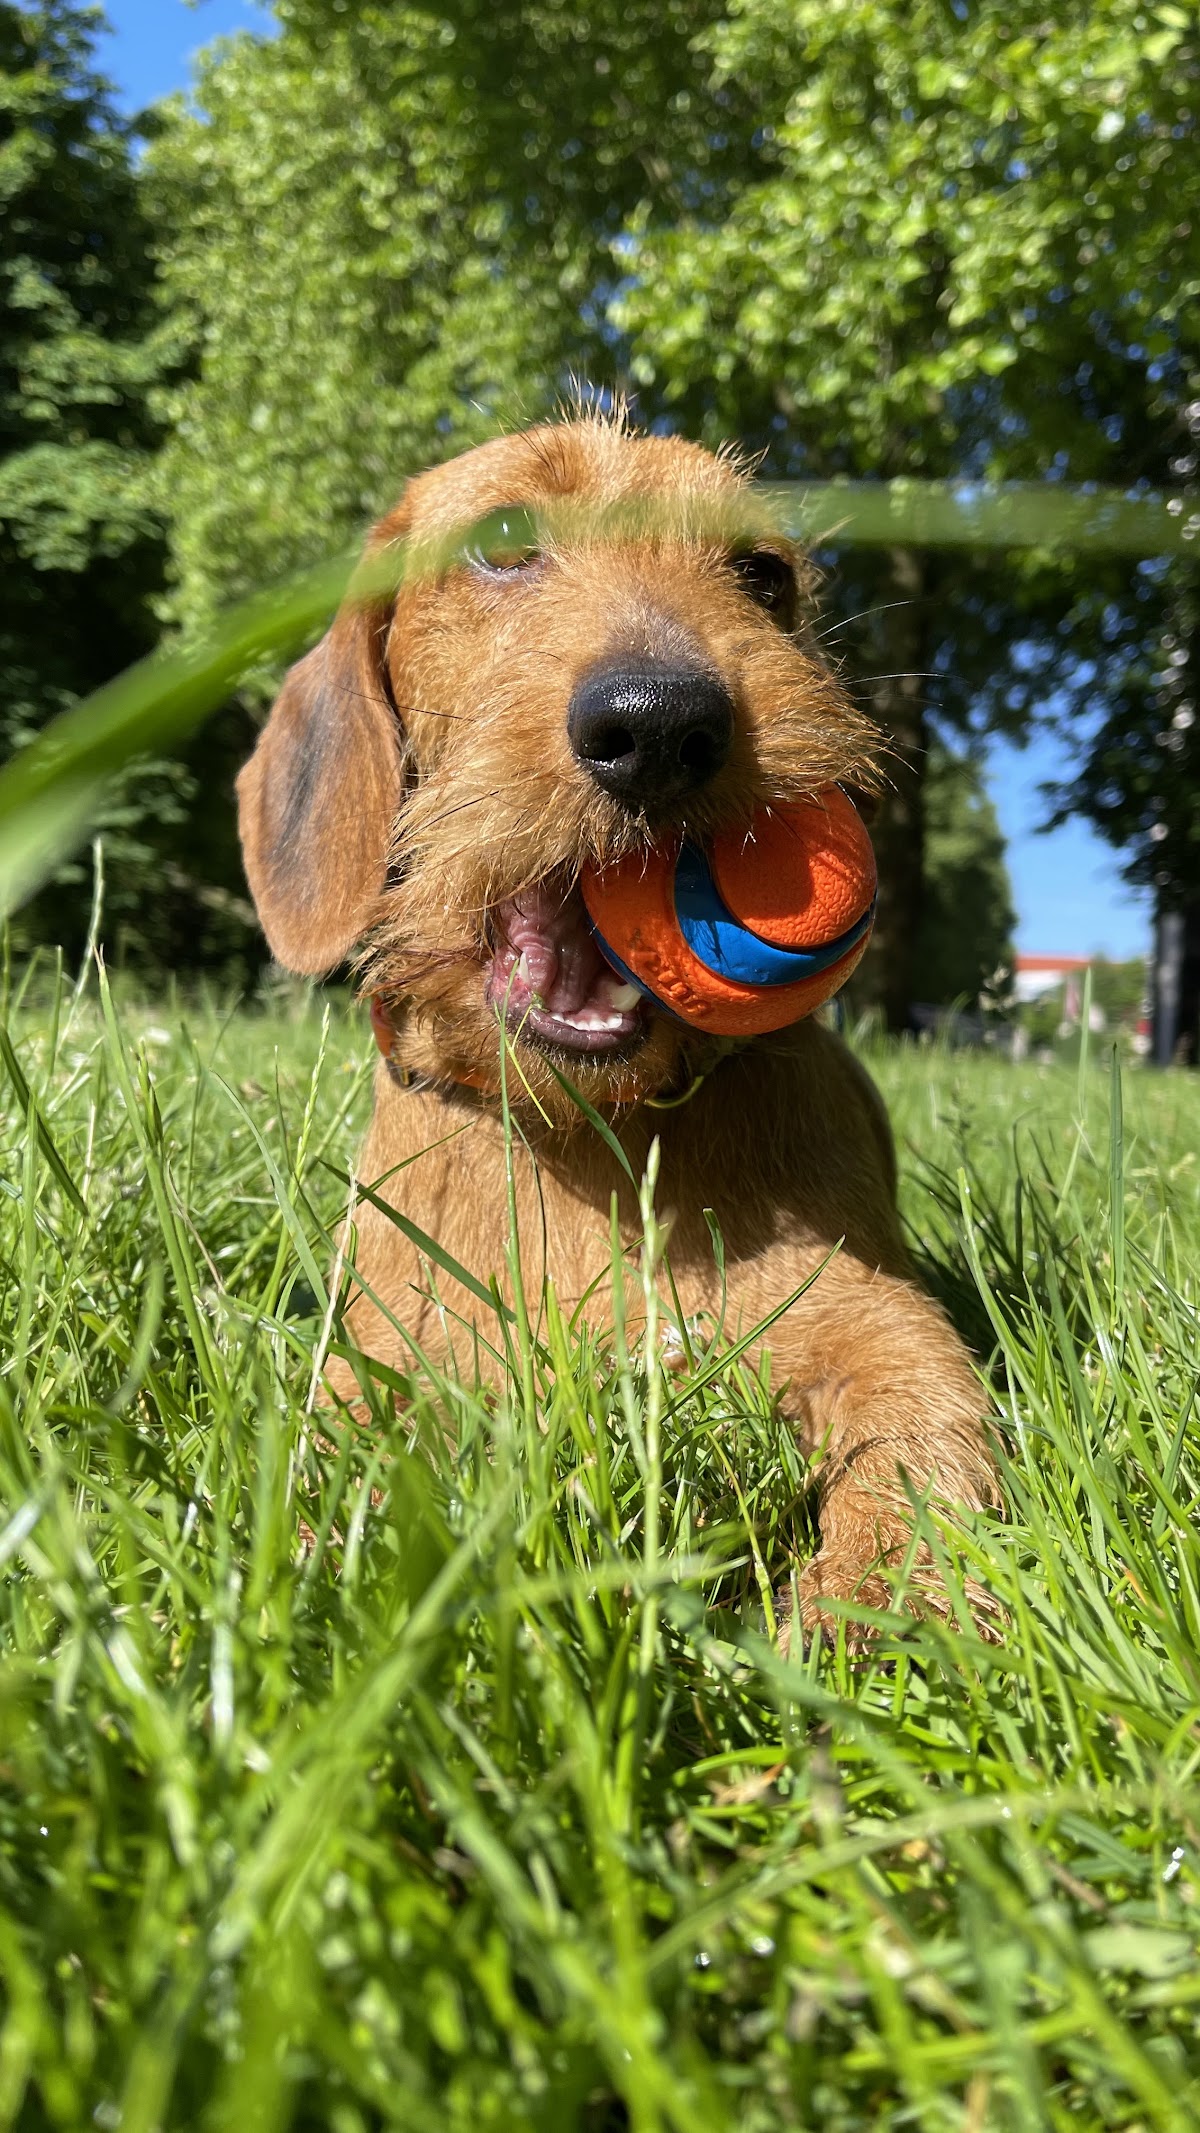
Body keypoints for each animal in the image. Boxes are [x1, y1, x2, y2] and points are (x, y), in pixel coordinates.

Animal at [237, 412, 998, 1643]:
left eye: (763, 574)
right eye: (503, 541)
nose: (661, 723)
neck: (597, 1133)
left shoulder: (879, 1322)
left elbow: (917, 1451)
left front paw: (880, 1609)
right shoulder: (381, 1356)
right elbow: (323, 1465)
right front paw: (291, 1588)